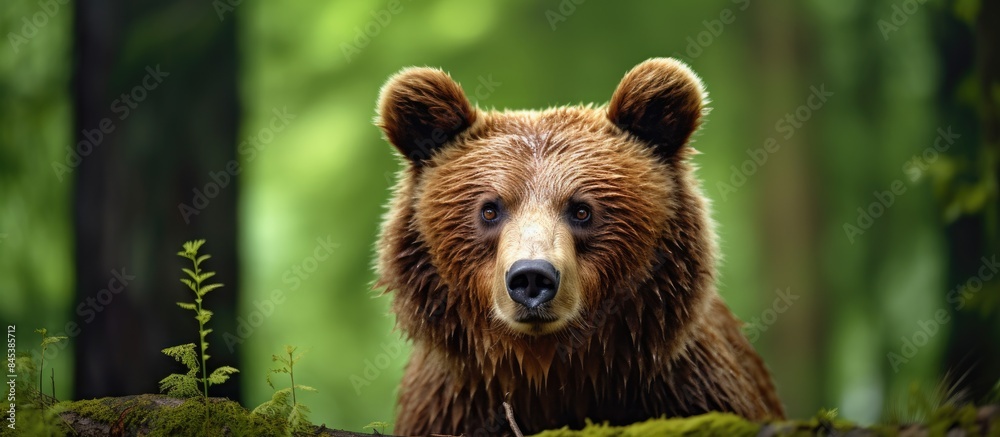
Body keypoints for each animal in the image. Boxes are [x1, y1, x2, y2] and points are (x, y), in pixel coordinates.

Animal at [374, 58, 784, 436]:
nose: (532, 277)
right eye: (490, 209)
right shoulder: (450, 407)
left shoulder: (689, 388)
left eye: (582, 210)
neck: (551, 369)